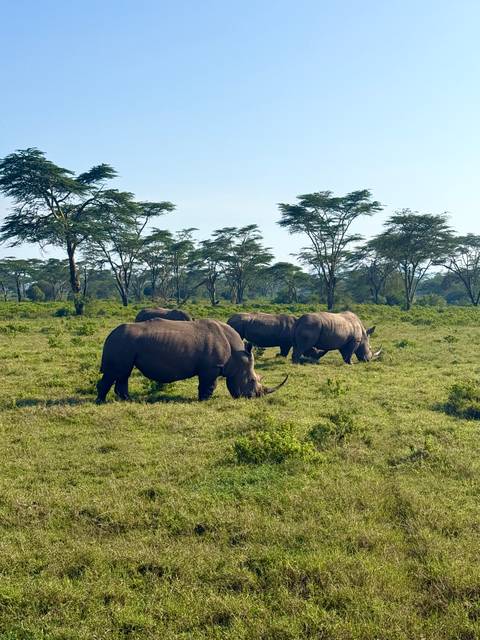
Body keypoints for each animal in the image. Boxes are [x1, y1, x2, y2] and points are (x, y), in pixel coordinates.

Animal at [96, 318, 288, 402]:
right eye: (252, 380)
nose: (255, 397)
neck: (237, 355)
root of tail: (109, 335)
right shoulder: (211, 368)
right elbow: (209, 385)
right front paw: (205, 400)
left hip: (125, 344)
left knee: (123, 373)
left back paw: (127, 400)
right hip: (121, 343)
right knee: (115, 372)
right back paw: (101, 401)